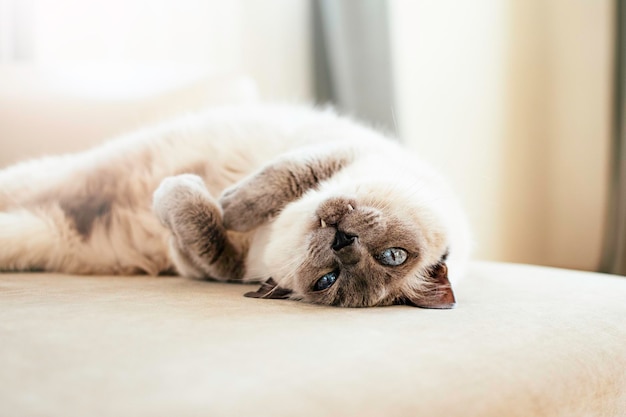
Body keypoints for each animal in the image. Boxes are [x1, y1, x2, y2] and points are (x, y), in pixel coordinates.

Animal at [0, 105, 468, 308]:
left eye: (327, 280)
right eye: (395, 256)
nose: (342, 242)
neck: (281, 231)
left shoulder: (206, 264)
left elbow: (200, 227)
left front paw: (186, 193)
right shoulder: (339, 153)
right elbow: (277, 181)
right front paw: (229, 202)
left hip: (40, 233)